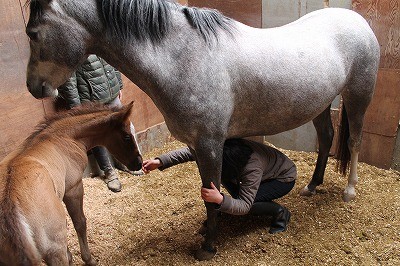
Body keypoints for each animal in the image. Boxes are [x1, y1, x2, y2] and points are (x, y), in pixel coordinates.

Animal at [23, 0, 380, 260]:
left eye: (33, 32)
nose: (33, 87)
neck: (183, 58)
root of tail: (356, 20)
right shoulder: (196, 144)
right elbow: (209, 191)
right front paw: (207, 230)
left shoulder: (209, 143)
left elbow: (213, 196)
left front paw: (208, 247)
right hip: (321, 103)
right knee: (327, 138)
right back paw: (312, 185)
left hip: (359, 95)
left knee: (354, 140)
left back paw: (349, 191)